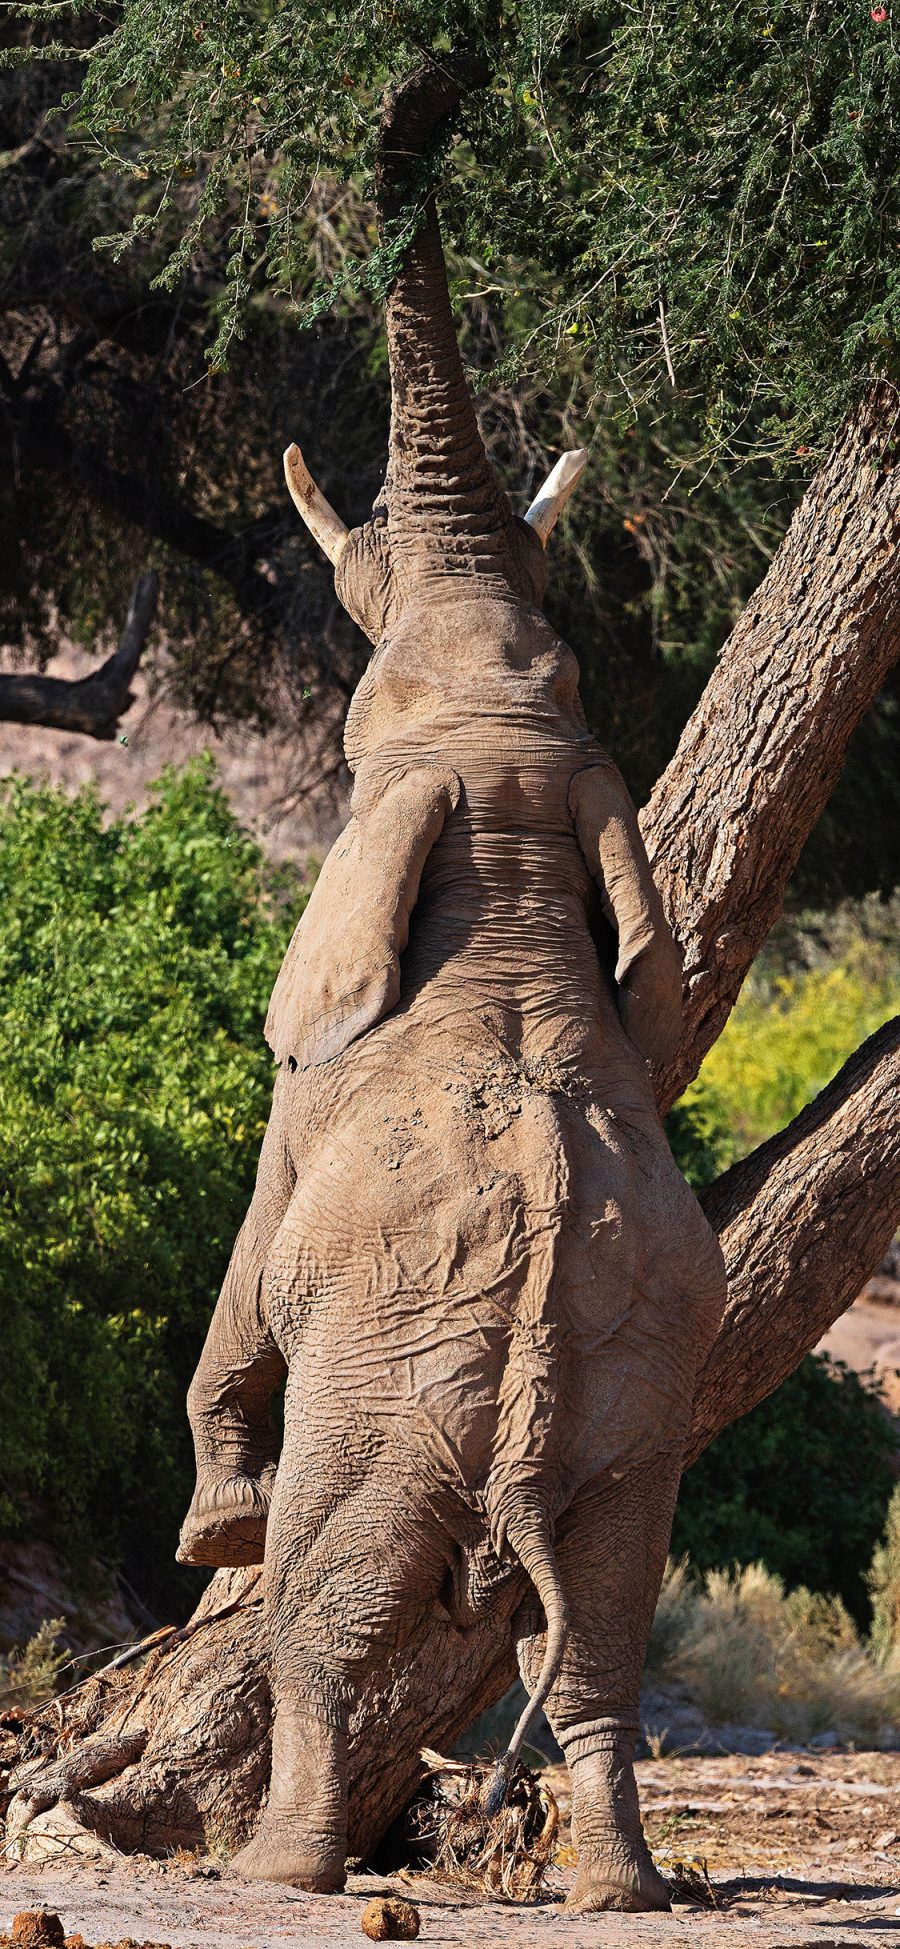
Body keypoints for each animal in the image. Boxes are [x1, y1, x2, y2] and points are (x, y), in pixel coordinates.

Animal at [174, 64, 724, 1917]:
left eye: (368, 710)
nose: (436, 78)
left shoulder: (305, 1083)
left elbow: (246, 1260)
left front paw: (209, 1524)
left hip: (396, 1378)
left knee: (332, 1599)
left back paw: (279, 1867)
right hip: (629, 1404)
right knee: (611, 1626)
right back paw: (614, 1891)